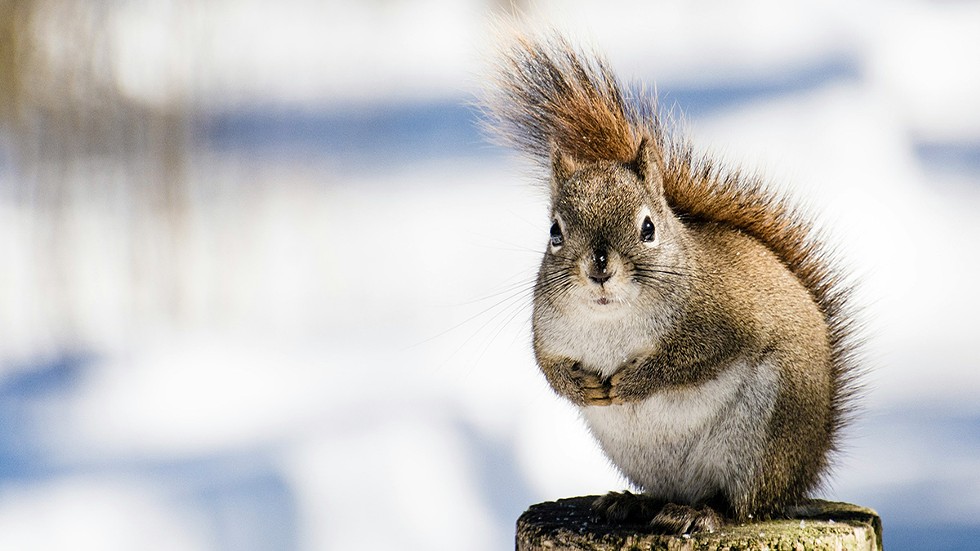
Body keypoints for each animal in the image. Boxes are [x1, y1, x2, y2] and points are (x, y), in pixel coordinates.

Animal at [486, 34, 860, 536]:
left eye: (648, 228)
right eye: (555, 231)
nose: (599, 267)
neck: (611, 320)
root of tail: (802, 473)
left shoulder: (726, 322)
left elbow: (692, 360)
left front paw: (632, 383)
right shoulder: (546, 332)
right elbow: (547, 367)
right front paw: (581, 386)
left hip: (763, 439)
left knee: (741, 504)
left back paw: (701, 511)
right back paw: (631, 503)